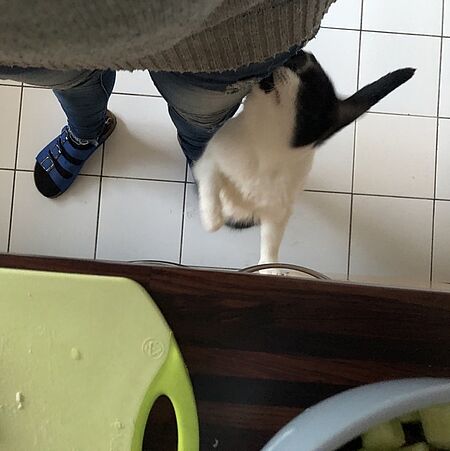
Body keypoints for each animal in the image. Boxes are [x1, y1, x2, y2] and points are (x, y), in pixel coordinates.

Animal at [193, 50, 415, 271]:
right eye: (295, 60)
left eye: (307, 78)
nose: (296, 55)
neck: (265, 148)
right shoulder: (208, 160)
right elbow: (212, 182)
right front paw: (212, 218)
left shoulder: (277, 210)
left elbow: (271, 239)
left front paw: (270, 266)